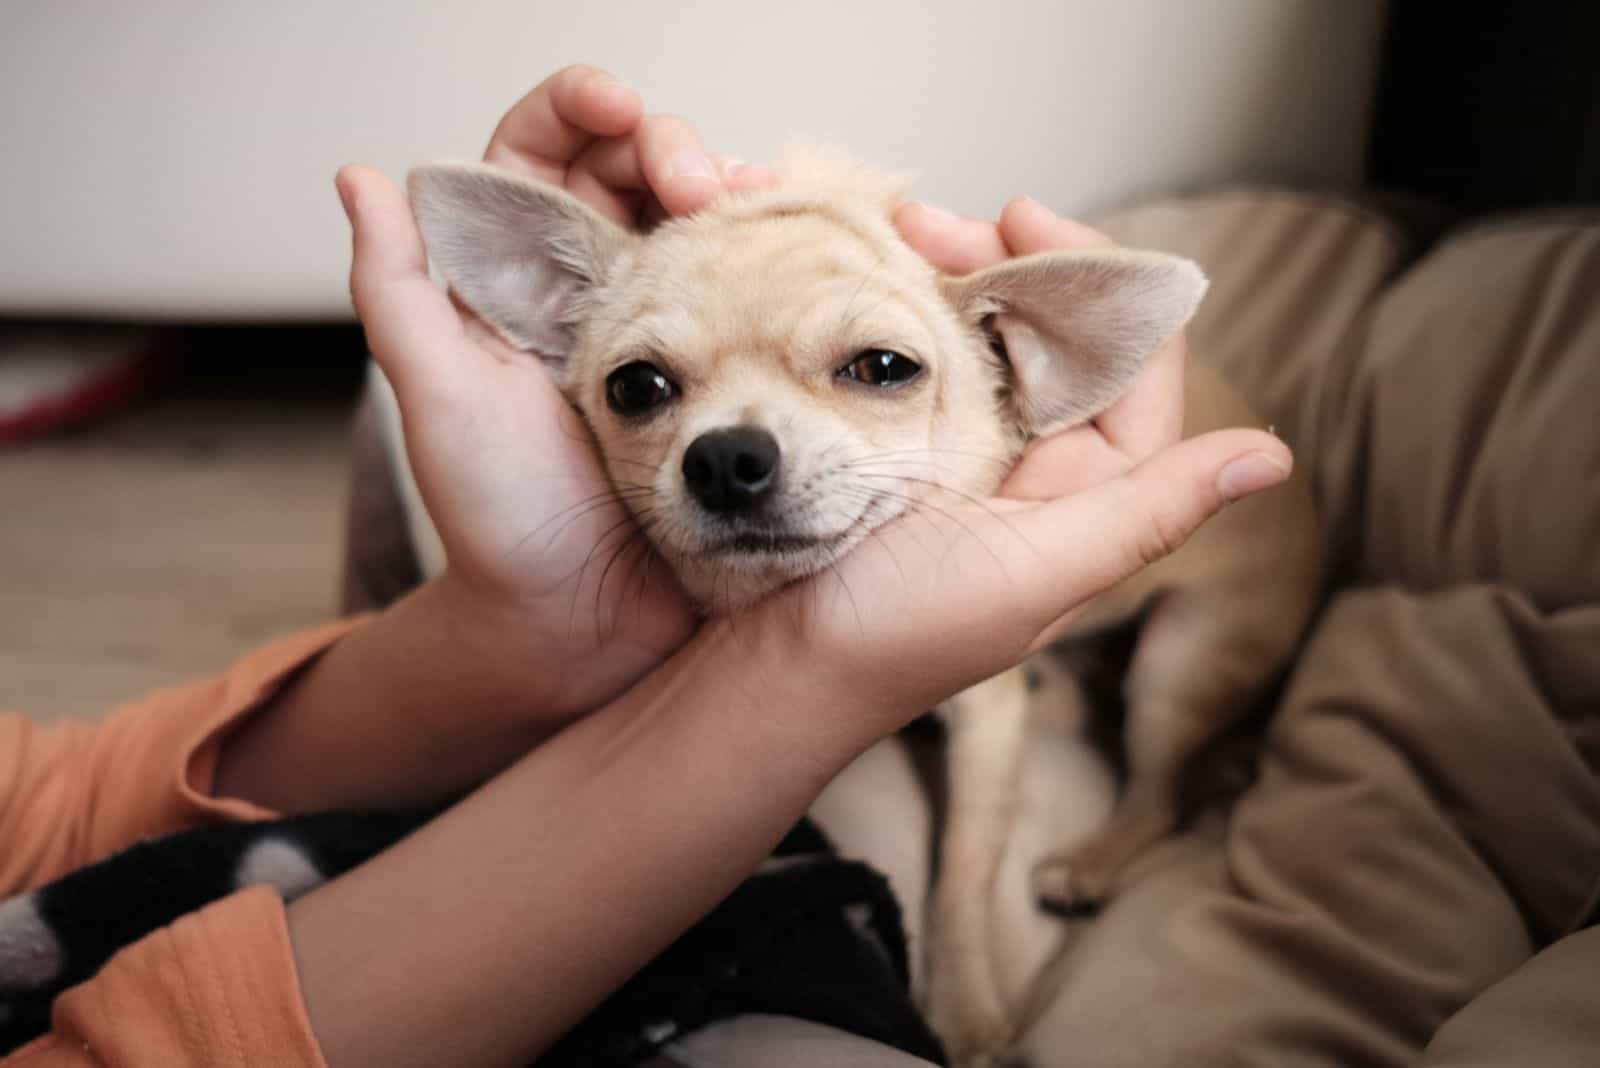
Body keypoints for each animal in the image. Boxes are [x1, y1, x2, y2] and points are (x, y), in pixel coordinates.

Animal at [403, 146, 1324, 1061]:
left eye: (883, 368)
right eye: (636, 387)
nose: (724, 457)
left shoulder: (986, 722)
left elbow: (965, 865)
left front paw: (964, 1010)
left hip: (1182, 658)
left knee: (1164, 791)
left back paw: (1091, 861)